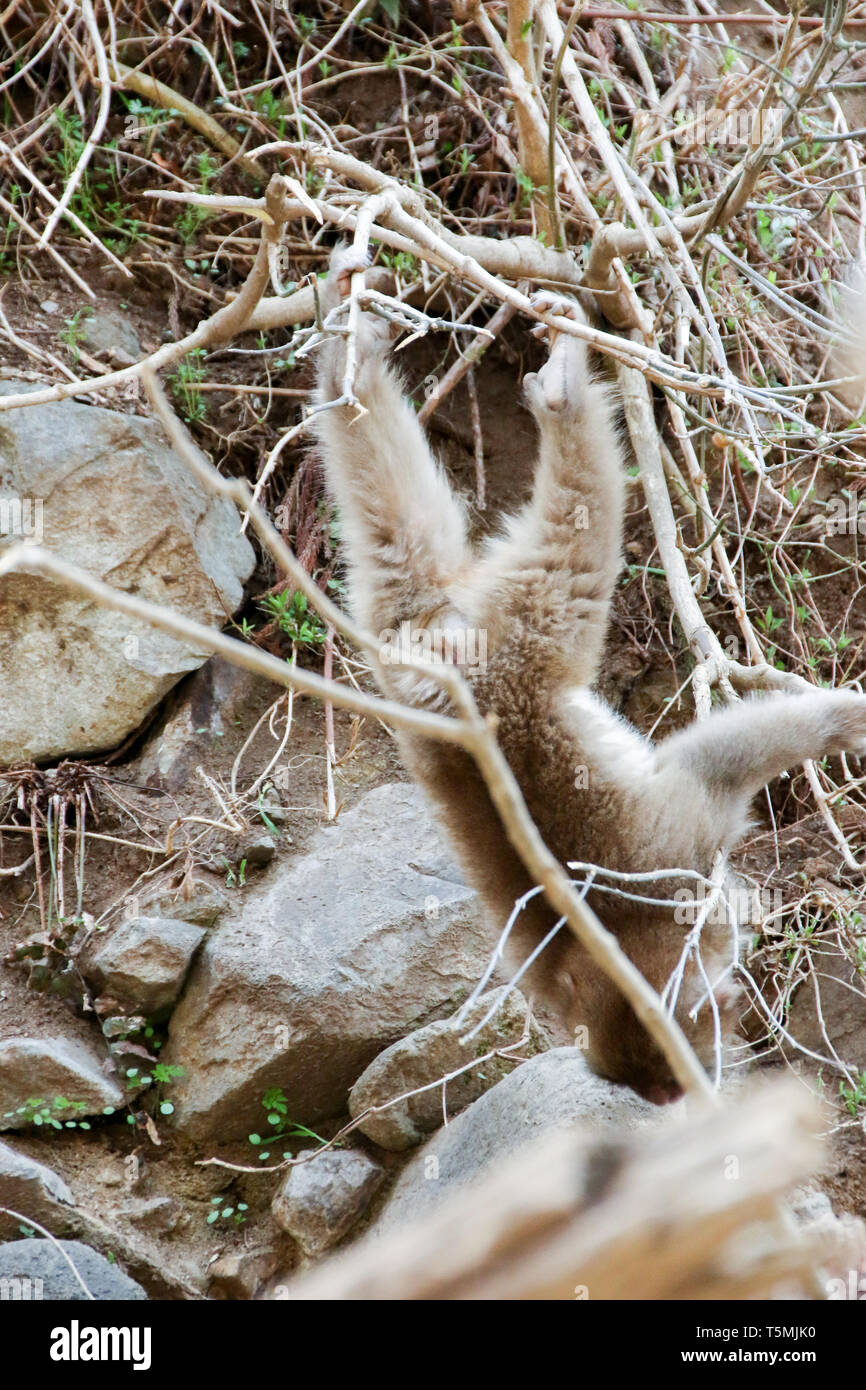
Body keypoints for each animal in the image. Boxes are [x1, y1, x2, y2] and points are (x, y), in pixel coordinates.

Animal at [313, 244, 866, 1104]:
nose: (710, 1076)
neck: (609, 944)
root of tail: (451, 672)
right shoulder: (675, 865)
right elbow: (721, 760)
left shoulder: (673, 851)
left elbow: (720, 759)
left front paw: (846, 719)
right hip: (470, 641)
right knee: (485, 540)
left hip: (472, 637)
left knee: (500, 539)